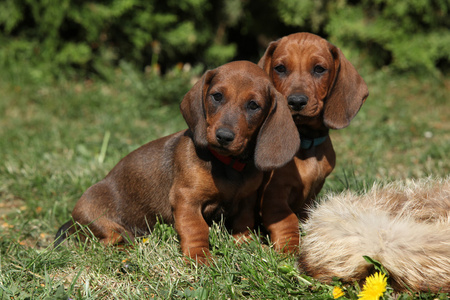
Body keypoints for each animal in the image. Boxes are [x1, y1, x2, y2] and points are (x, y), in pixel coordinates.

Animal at [56, 61, 300, 262]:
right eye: (217, 96)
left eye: (253, 105)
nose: (224, 136)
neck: (228, 166)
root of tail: (72, 221)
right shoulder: (186, 199)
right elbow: (196, 229)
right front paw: (200, 258)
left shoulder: (247, 200)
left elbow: (243, 224)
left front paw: (248, 246)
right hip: (101, 222)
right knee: (107, 242)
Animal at [256, 32, 370, 253]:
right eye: (280, 68)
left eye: (319, 69)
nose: (296, 101)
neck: (305, 141)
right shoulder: (274, 195)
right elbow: (287, 220)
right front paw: (290, 249)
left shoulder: (312, 193)